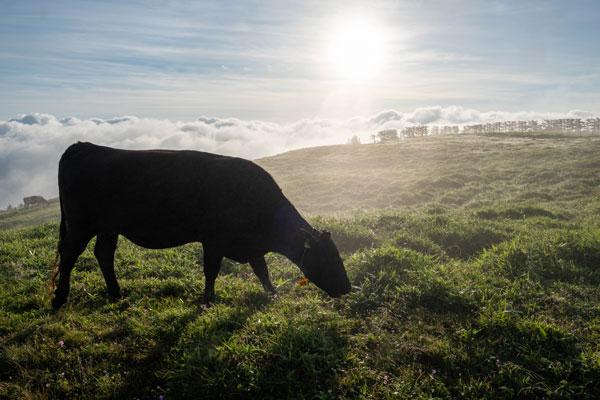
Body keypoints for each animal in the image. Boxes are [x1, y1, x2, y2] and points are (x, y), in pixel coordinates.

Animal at [52, 141, 352, 310]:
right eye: (327, 258)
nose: (348, 288)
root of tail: (83, 145)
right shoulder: (214, 240)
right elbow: (211, 271)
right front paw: (208, 300)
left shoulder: (250, 245)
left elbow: (261, 270)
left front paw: (273, 293)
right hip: (80, 226)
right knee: (68, 255)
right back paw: (59, 298)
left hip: (108, 227)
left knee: (103, 254)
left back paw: (115, 293)